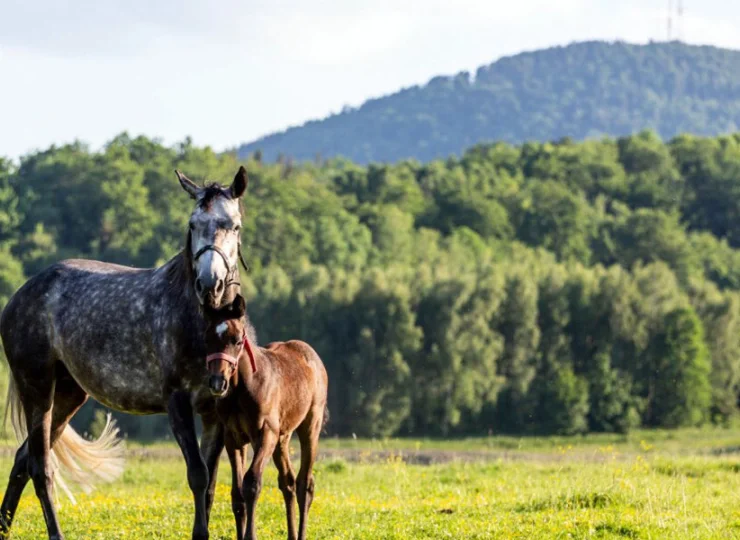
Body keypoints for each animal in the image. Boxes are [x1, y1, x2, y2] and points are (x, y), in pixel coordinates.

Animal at [0, 167, 250, 536]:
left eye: (234, 226)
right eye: (193, 224)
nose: (209, 285)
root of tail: (18, 296)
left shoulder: (213, 410)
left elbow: (210, 481)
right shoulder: (177, 402)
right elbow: (197, 475)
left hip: (68, 395)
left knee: (21, 459)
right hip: (38, 390)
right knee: (39, 466)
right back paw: (56, 533)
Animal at [204, 296, 328, 540]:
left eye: (237, 341)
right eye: (208, 338)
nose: (217, 383)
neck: (243, 387)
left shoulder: (265, 434)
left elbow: (252, 483)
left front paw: (250, 535)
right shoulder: (233, 439)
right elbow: (237, 493)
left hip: (310, 426)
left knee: (305, 483)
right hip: (282, 437)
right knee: (288, 481)